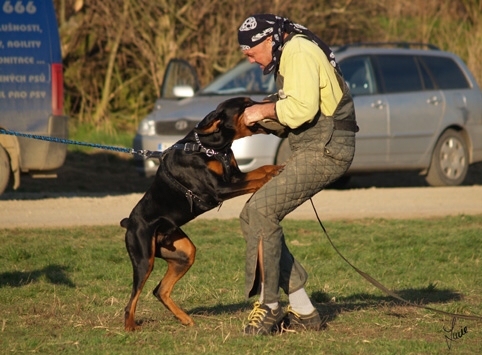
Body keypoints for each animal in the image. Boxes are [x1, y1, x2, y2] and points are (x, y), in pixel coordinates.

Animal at [120, 96, 282, 330]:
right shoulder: (220, 188)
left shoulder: (234, 177)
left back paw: (184, 318)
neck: (209, 146)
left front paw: (276, 167)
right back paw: (130, 327)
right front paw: (273, 175)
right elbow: (256, 179)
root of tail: (129, 222)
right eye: (245, 103)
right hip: (143, 258)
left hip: (184, 253)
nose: (270, 100)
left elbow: (260, 170)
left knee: (160, 290)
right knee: (133, 298)